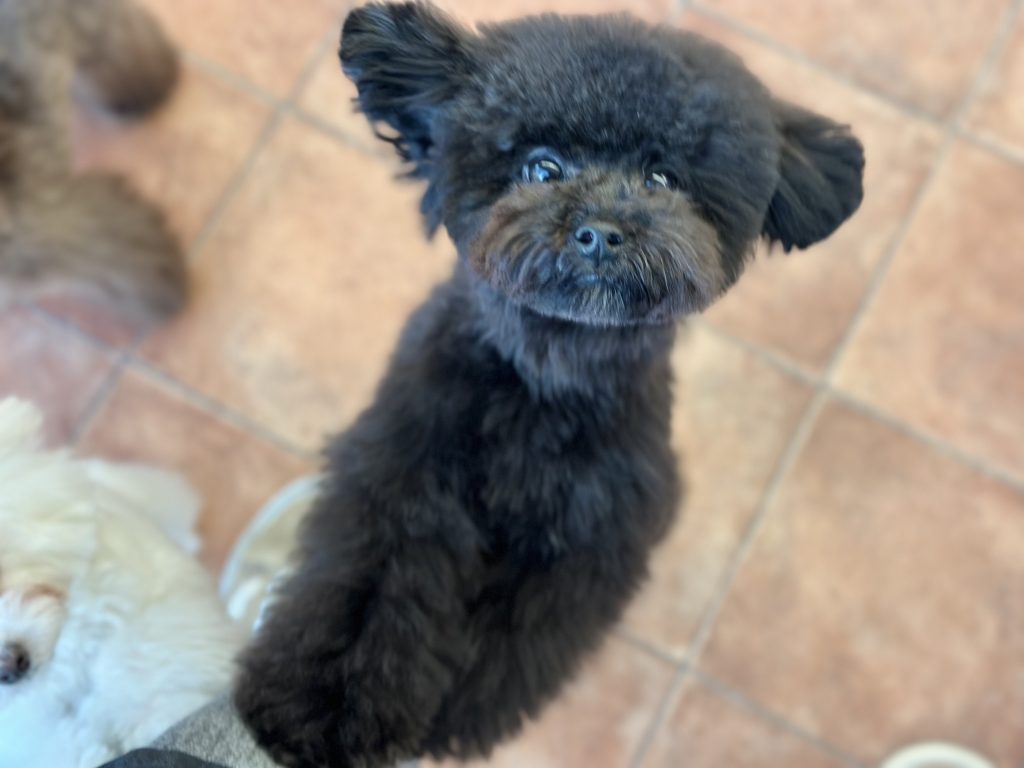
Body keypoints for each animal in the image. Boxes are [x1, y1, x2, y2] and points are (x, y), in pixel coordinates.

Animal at [234, 5, 865, 766]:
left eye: (661, 178)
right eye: (541, 167)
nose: (600, 231)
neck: (547, 372)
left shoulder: (590, 540)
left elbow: (510, 644)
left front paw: (452, 717)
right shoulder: (405, 483)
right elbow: (368, 598)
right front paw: (321, 710)